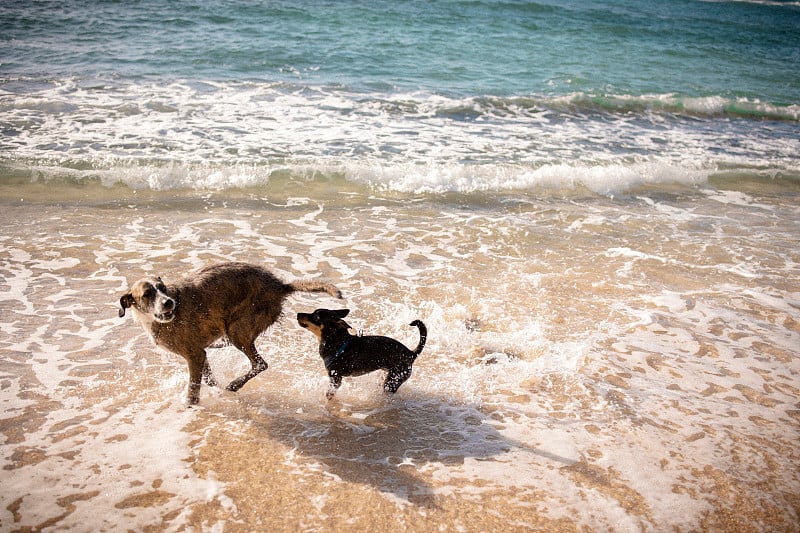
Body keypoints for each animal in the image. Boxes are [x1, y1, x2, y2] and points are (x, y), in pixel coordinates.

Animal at [119, 262, 340, 404]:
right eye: (147, 294)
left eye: (163, 288)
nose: (168, 303)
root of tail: (280, 286)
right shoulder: (200, 354)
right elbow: (208, 378)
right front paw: (213, 390)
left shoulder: (194, 355)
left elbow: (193, 389)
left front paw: (191, 407)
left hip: (238, 330)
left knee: (260, 363)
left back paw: (234, 385)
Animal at [296, 308, 428, 400]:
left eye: (316, 316)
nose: (298, 314)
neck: (336, 342)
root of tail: (411, 353)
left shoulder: (336, 378)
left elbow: (329, 394)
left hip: (393, 381)